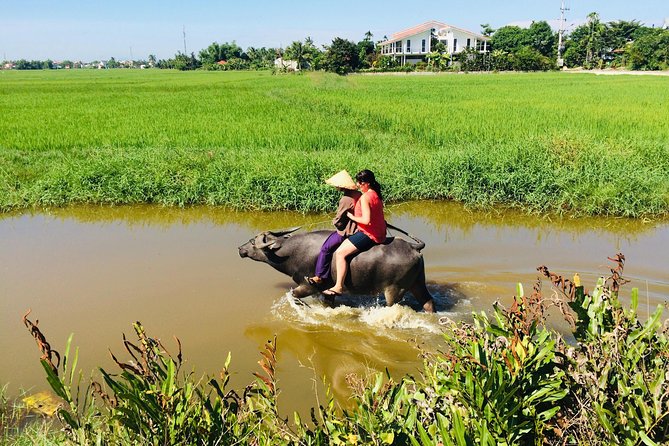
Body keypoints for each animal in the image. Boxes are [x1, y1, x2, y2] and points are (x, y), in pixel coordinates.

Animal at [238, 227, 435, 312]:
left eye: (253, 242)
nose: (240, 248)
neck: (291, 252)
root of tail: (412, 247)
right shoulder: (328, 291)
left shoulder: (309, 285)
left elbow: (293, 295)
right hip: (418, 283)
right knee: (428, 302)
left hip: (394, 291)